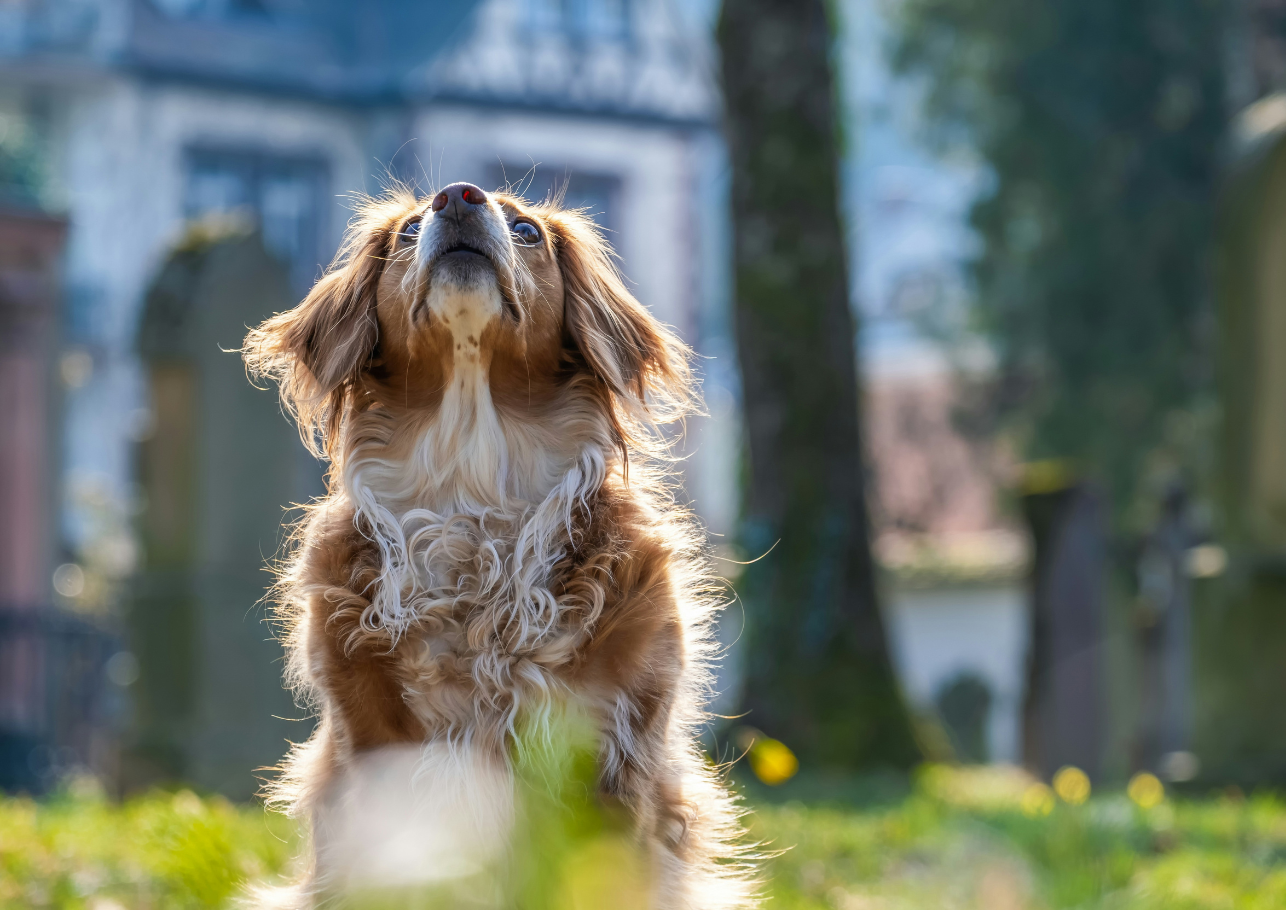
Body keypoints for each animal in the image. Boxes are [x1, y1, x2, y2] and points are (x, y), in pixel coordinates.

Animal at [243, 181, 751, 904]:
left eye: (527, 230)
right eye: (406, 232)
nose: (457, 196)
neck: (472, 484)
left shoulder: (613, 759)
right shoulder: (375, 757)